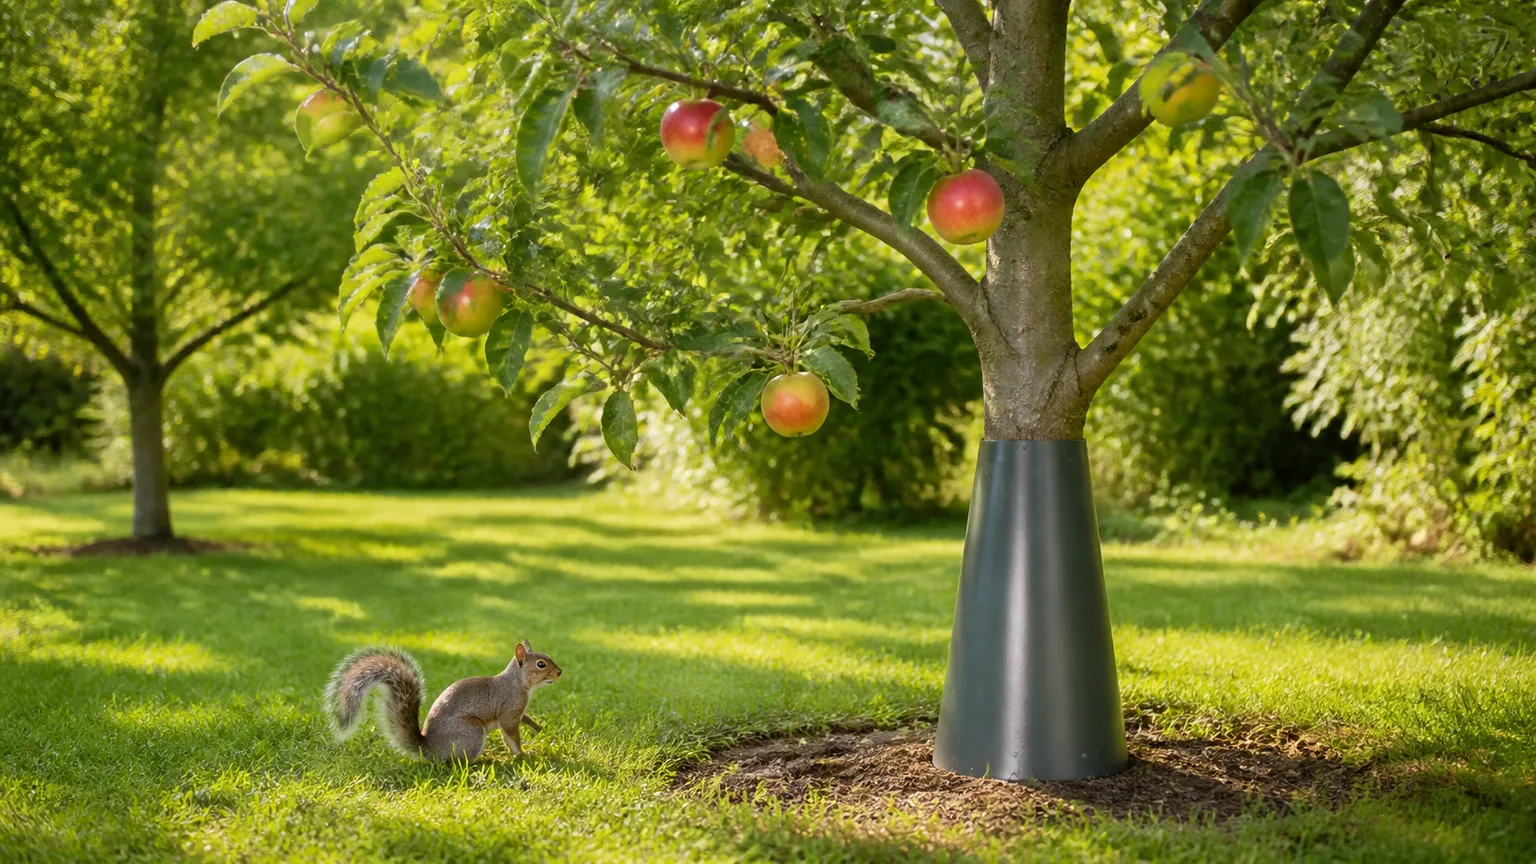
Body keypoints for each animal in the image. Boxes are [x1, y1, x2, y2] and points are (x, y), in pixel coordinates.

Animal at [324, 639, 562, 761]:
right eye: (541, 664)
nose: (559, 672)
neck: (519, 682)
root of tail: (429, 750)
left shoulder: (518, 712)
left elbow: (523, 722)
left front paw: (538, 729)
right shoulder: (509, 711)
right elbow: (512, 735)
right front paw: (523, 754)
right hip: (472, 731)